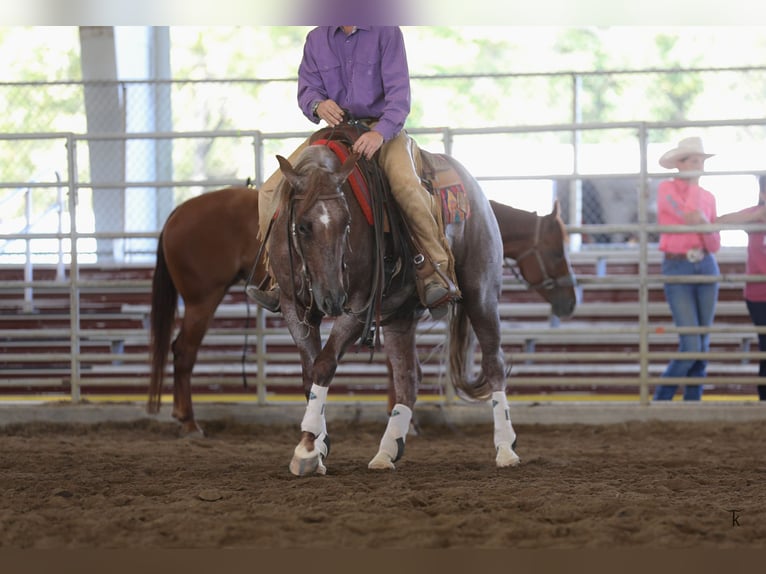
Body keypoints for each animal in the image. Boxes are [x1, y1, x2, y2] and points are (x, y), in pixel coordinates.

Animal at [266, 127, 572, 475]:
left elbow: (323, 366)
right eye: (303, 227)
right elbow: (309, 372)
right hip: (400, 315)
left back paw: (506, 448)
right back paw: (387, 451)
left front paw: (306, 449)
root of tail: (475, 191)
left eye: (347, 223)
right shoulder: (293, 307)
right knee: (408, 378)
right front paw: (318, 445)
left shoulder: (360, 307)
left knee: (494, 364)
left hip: (481, 295)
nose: (332, 299)